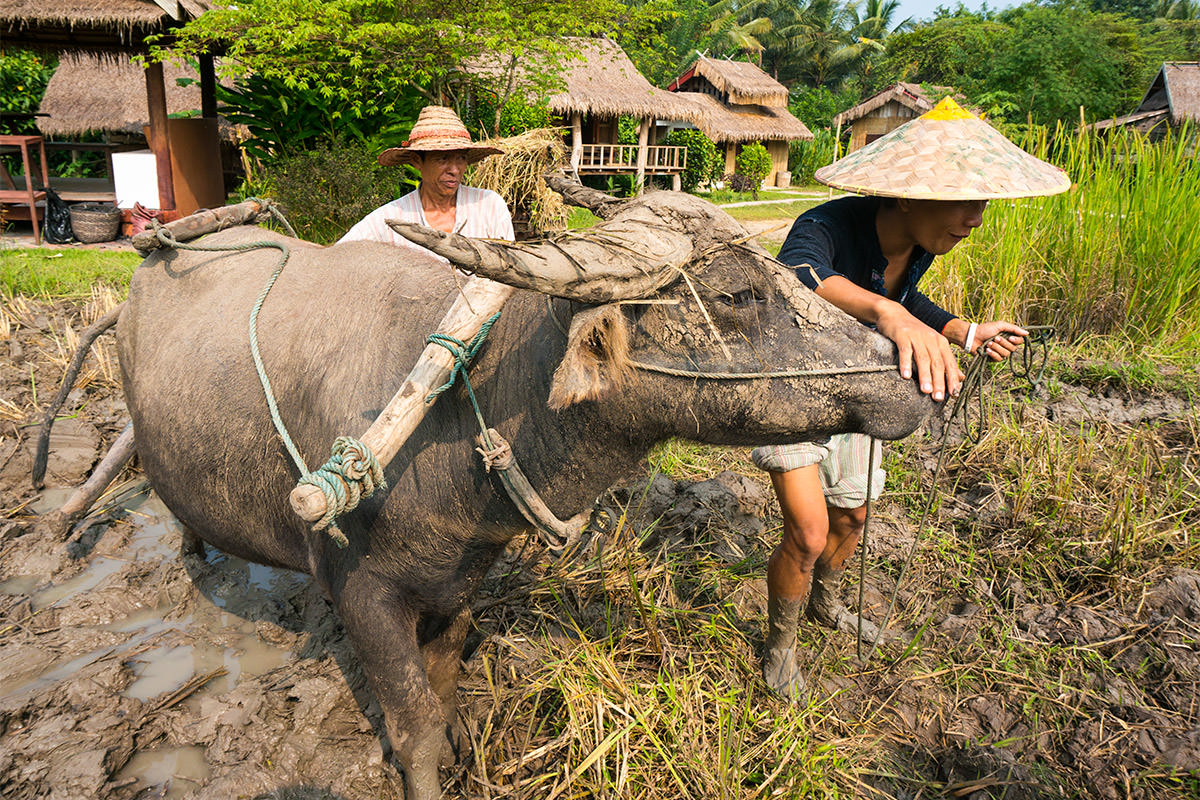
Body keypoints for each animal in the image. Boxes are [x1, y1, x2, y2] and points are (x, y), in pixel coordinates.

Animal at [110, 178, 926, 796]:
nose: (908, 373)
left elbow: (443, 690)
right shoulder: (362, 595)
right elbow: (413, 725)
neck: (462, 403)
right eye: (737, 295)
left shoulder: (457, 581)